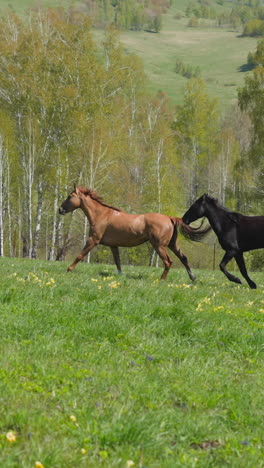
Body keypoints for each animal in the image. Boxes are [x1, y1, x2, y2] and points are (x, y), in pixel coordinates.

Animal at [58, 186, 210, 282]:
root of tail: (170, 218)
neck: (101, 215)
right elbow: (118, 262)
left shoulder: (93, 240)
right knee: (184, 258)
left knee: (168, 262)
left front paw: (68, 270)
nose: (60, 210)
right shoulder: (113, 246)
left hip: (159, 246)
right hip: (172, 245)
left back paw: (161, 280)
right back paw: (193, 278)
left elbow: (80, 255)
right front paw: (120, 276)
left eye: (70, 196)